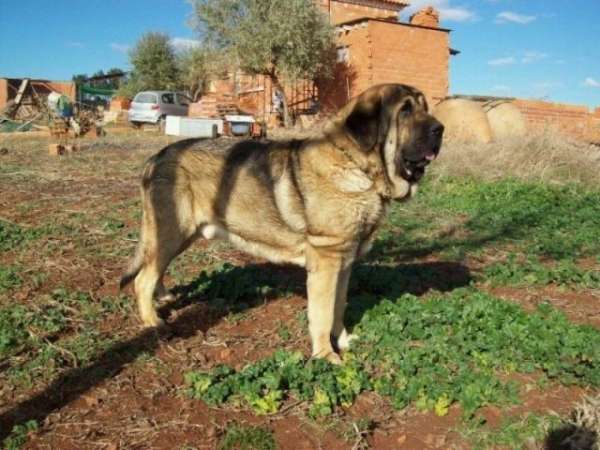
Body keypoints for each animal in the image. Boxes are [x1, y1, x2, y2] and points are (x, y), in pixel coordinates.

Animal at [120, 84, 440, 364]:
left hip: (178, 234)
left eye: (424, 108)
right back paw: (152, 321)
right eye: (405, 111)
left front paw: (344, 340)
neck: (356, 165)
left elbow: (338, 308)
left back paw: (162, 297)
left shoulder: (344, 263)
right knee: (142, 279)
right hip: (174, 231)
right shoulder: (326, 263)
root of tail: (155, 158)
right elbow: (323, 314)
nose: (440, 129)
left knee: (153, 269)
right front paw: (326, 356)